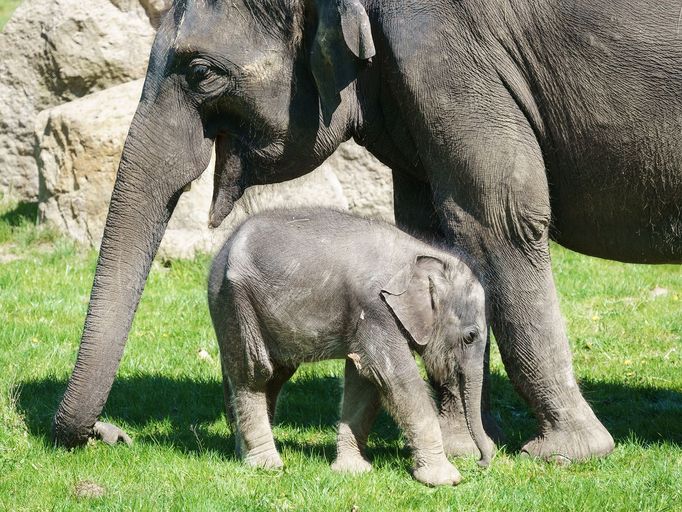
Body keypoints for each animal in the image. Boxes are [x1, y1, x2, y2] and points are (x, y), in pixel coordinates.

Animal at [206, 207, 488, 484]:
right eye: (470, 336)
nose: (482, 462)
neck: (422, 255)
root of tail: (224, 246)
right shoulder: (377, 310)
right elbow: (397, 379)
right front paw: (446, 479)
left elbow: (364, 380)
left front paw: (353, 470)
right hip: (234, 302)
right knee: (255, 375)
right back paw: (266, 465)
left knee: (275, 377)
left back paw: (245, 455)